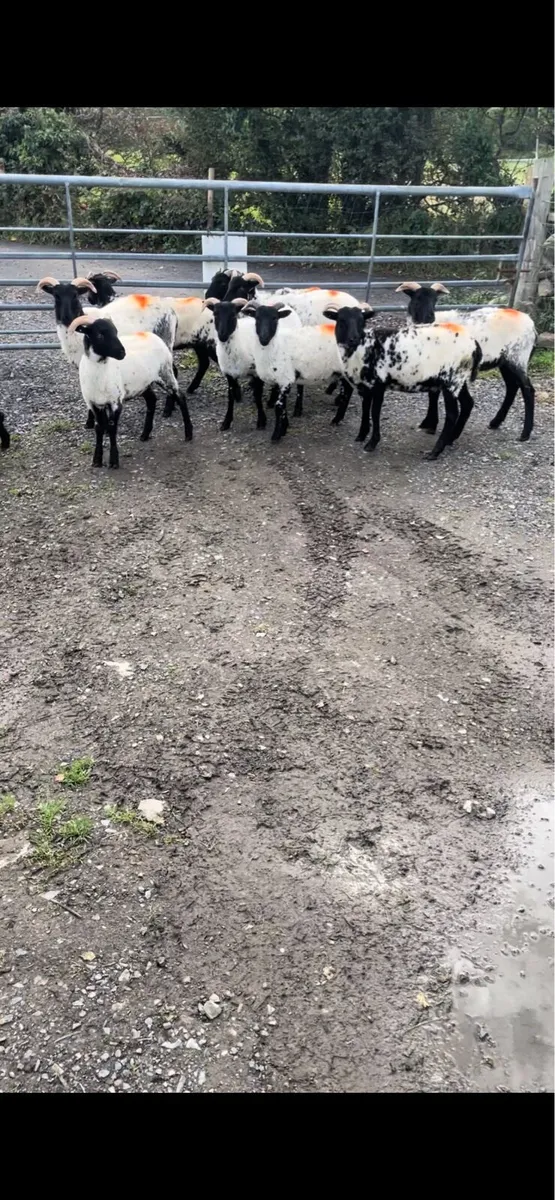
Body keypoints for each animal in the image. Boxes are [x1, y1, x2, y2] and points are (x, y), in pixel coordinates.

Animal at [68, 314, 193, 469]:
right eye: (100, 334)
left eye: (115, 332)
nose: (122, 353)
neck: (100, 372)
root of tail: (154, 336)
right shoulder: (94, 404)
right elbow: (99, 428)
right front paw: (97, 460)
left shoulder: (116, 402)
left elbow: (112, 428)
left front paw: (113, 461)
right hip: (142, 384)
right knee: (152, 400)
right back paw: (145, 434)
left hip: (166, 373)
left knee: (180, 396)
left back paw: (188, 434)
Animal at [204, 296, 302, 431]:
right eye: (215, 314)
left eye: (233, 315)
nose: (222, 336)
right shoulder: (229, 374)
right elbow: (230, 397)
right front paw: (226, 422)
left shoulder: (256, 373)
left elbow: (257, 395)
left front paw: (261, 421)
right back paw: (272, 401)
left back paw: (297, 409)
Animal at [241, 301, 353, 442]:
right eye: (257, 318)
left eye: (275, 318)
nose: (264, 338)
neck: (276, 347)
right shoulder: (280, 381)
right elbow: (282, 407)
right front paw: (284, 428)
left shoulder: (286, 379)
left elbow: (278, 407)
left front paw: (276, 435)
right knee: (348, 391)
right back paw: (338, 419)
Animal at [324, 303, 482, 460]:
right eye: (341, 320)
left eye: (361, 321)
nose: (354, 338)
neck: (362, 348)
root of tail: (474, 343)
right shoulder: (366, 386)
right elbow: (365, 409)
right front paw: (361, 435)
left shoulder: (379, 384)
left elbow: (374, 412)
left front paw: (372, 443)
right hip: (460, 379)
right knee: (468, 403)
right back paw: (451, 438)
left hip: (451, 380)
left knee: (452, 414)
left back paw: (435, 452)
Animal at [396, 281, 536, 441]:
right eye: (417, 299)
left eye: (435, 300)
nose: (430, 317)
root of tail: (531, 324)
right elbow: (433, 394)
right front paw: (429, 423)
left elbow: (434, 394)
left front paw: (431, 424)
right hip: (505, 361)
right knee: (512, 387)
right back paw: (495, 422)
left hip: (518, 357)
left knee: (528, 390)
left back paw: (525, 433)